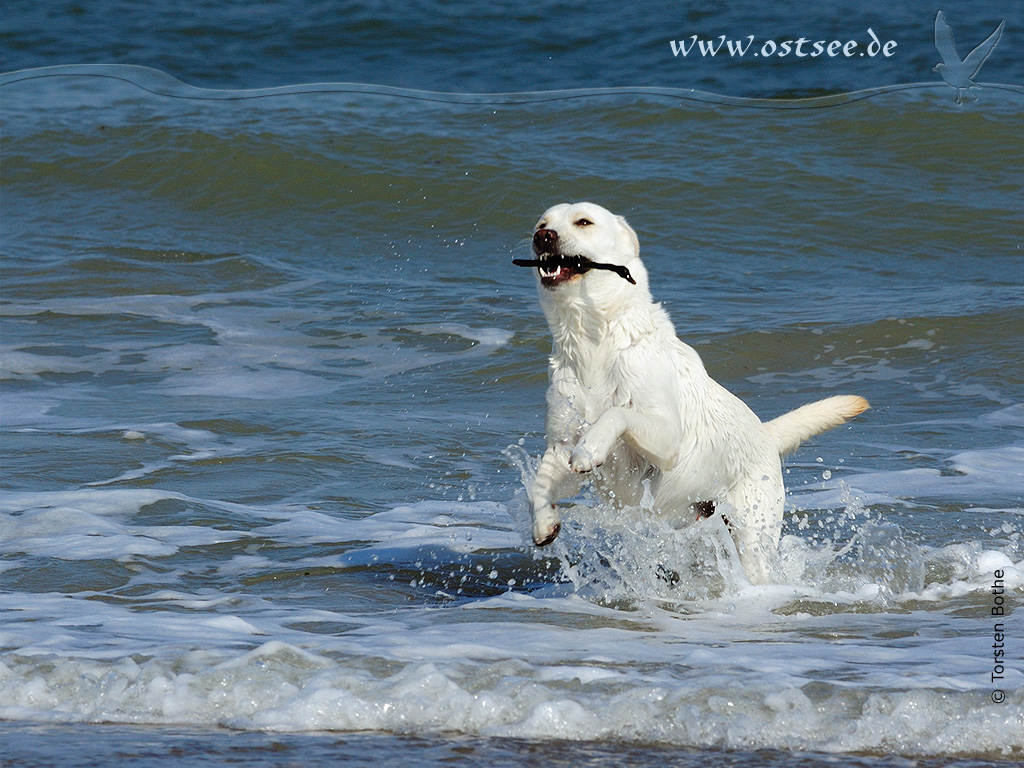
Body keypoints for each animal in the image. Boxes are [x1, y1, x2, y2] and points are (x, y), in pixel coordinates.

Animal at [516, 201, 868, 585]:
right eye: (541, 223)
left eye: (584, 222)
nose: (542, 237)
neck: (593, 342)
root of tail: (765, 433)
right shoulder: (561, 442)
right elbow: (540, 481)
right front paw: (544, 522)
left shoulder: (667, 438)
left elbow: (616, 413)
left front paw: (591, 448)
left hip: (751, 532)